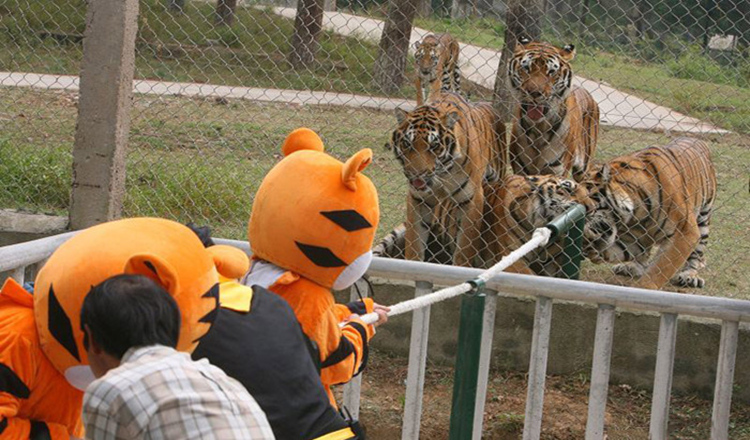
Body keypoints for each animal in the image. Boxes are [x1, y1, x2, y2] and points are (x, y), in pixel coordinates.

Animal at [390, 91, 508, 266]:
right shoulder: (418, 198)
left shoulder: (472, 199)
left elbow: (464, 249)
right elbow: (414, 244)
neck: (442, 173)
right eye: (407, 143)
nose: (416, 174)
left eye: (434, 145)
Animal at [508, 37, 604, 183]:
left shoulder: (557, 171)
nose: (535, 93)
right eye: (526, 68)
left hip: (583, 168)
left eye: (551, 71)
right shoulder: (521, 168)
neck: (539, 128)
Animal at [572, 136, 720, 290]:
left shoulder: (685, 232)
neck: (636, 214)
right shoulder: (634, 239)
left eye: (587, 196)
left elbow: (660, 269)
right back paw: (630, 267)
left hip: (703, 219)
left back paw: (689, 276)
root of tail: (697, 139)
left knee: (696, 254)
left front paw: (644, 288)